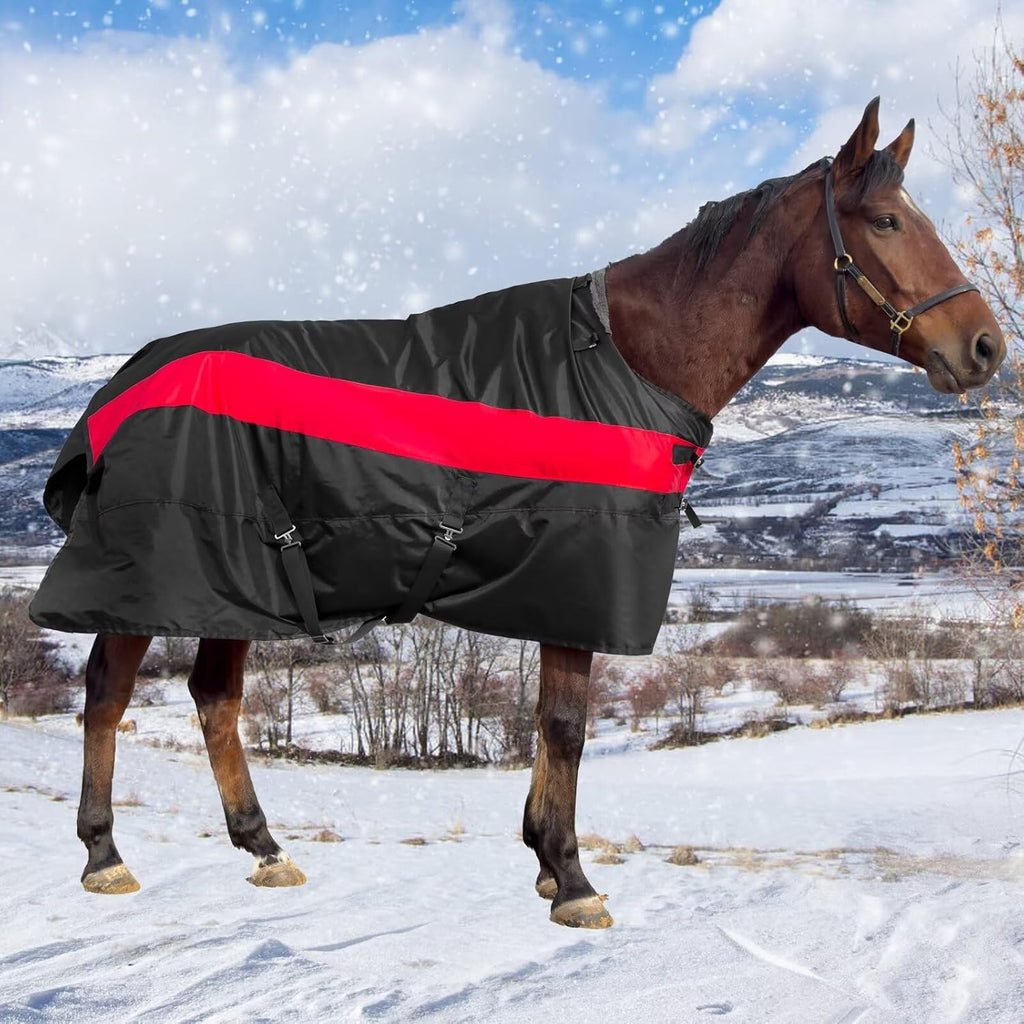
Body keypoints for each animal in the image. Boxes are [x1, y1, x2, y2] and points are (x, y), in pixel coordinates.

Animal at [32, 98, 1004, 928]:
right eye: (886, 222)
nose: (986, 347)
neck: (627, 360)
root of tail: (128, 377)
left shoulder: (558, 591)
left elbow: (548, 722)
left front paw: (543, 859)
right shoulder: (579, 582)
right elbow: (567, 726)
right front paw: (572, 878)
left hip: (242, 582)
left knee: (214, 697)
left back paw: (265, 848)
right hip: (160, 572)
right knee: (108, 692)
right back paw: (104, 856)